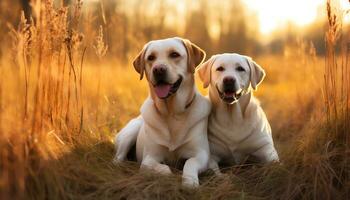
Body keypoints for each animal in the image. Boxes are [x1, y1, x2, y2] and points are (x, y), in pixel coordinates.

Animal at [113, 38, 211, 188]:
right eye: (151, 58)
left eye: (174, 54)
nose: (158, 69)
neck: (172, 113)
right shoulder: (149, 158)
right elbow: (165, 169)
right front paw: (172, 174)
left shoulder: (201, 154)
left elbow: (190, 163)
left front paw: (190, 182)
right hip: (130, 132)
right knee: (117, 158)